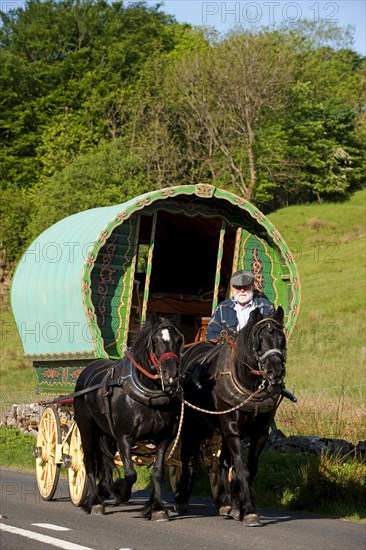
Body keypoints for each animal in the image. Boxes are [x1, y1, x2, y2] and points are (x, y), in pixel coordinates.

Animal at [74, 316, 183, 520]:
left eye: (179, 340)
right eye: (155, 341)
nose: (171, 375)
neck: (149, 395)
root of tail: (87, 370)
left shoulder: (163, 438)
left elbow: (158, 472)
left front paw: (157, 508)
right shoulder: (124, 437)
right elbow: (130, 473)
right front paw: (121, 492)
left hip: (107, 434)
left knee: (105, 460)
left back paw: (104, 489)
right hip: (87, 430)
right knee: (89, 462)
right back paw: (95, 502)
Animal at [174, 308, 286, 528]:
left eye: (282, 339)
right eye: (259, 341)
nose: (276, 373)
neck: (250, 387)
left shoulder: (260, 433)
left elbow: (249, 468)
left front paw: (238, 506)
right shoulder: (232, 428)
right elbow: (241, 468)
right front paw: (249, 511)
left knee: (223, 462)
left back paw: (226, 503)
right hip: (192, 425)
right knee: (186, 457)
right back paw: (182, 498)